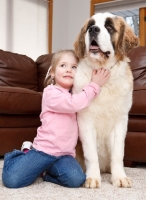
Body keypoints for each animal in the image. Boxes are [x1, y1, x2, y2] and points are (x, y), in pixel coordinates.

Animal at [73, 12, 139, 189]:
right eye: (90, 25)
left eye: (109, 27)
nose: (93, 29)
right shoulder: (86, 122)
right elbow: (91, 154)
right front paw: (92, 178)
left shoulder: (120, 121)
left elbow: (118, 153)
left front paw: (120, 178)